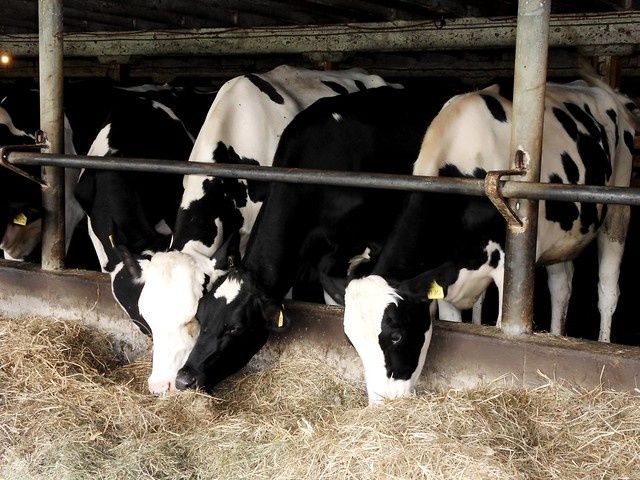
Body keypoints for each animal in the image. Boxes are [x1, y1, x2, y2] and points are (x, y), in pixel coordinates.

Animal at [341, 77, 639, 404]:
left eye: (396, 336)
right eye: (353, 341)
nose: (383, 404)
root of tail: (605, 92)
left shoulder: (508, 267)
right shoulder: (448, 280)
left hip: (617, 211)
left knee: (607, 290)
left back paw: (604, 341)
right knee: (561, 287)